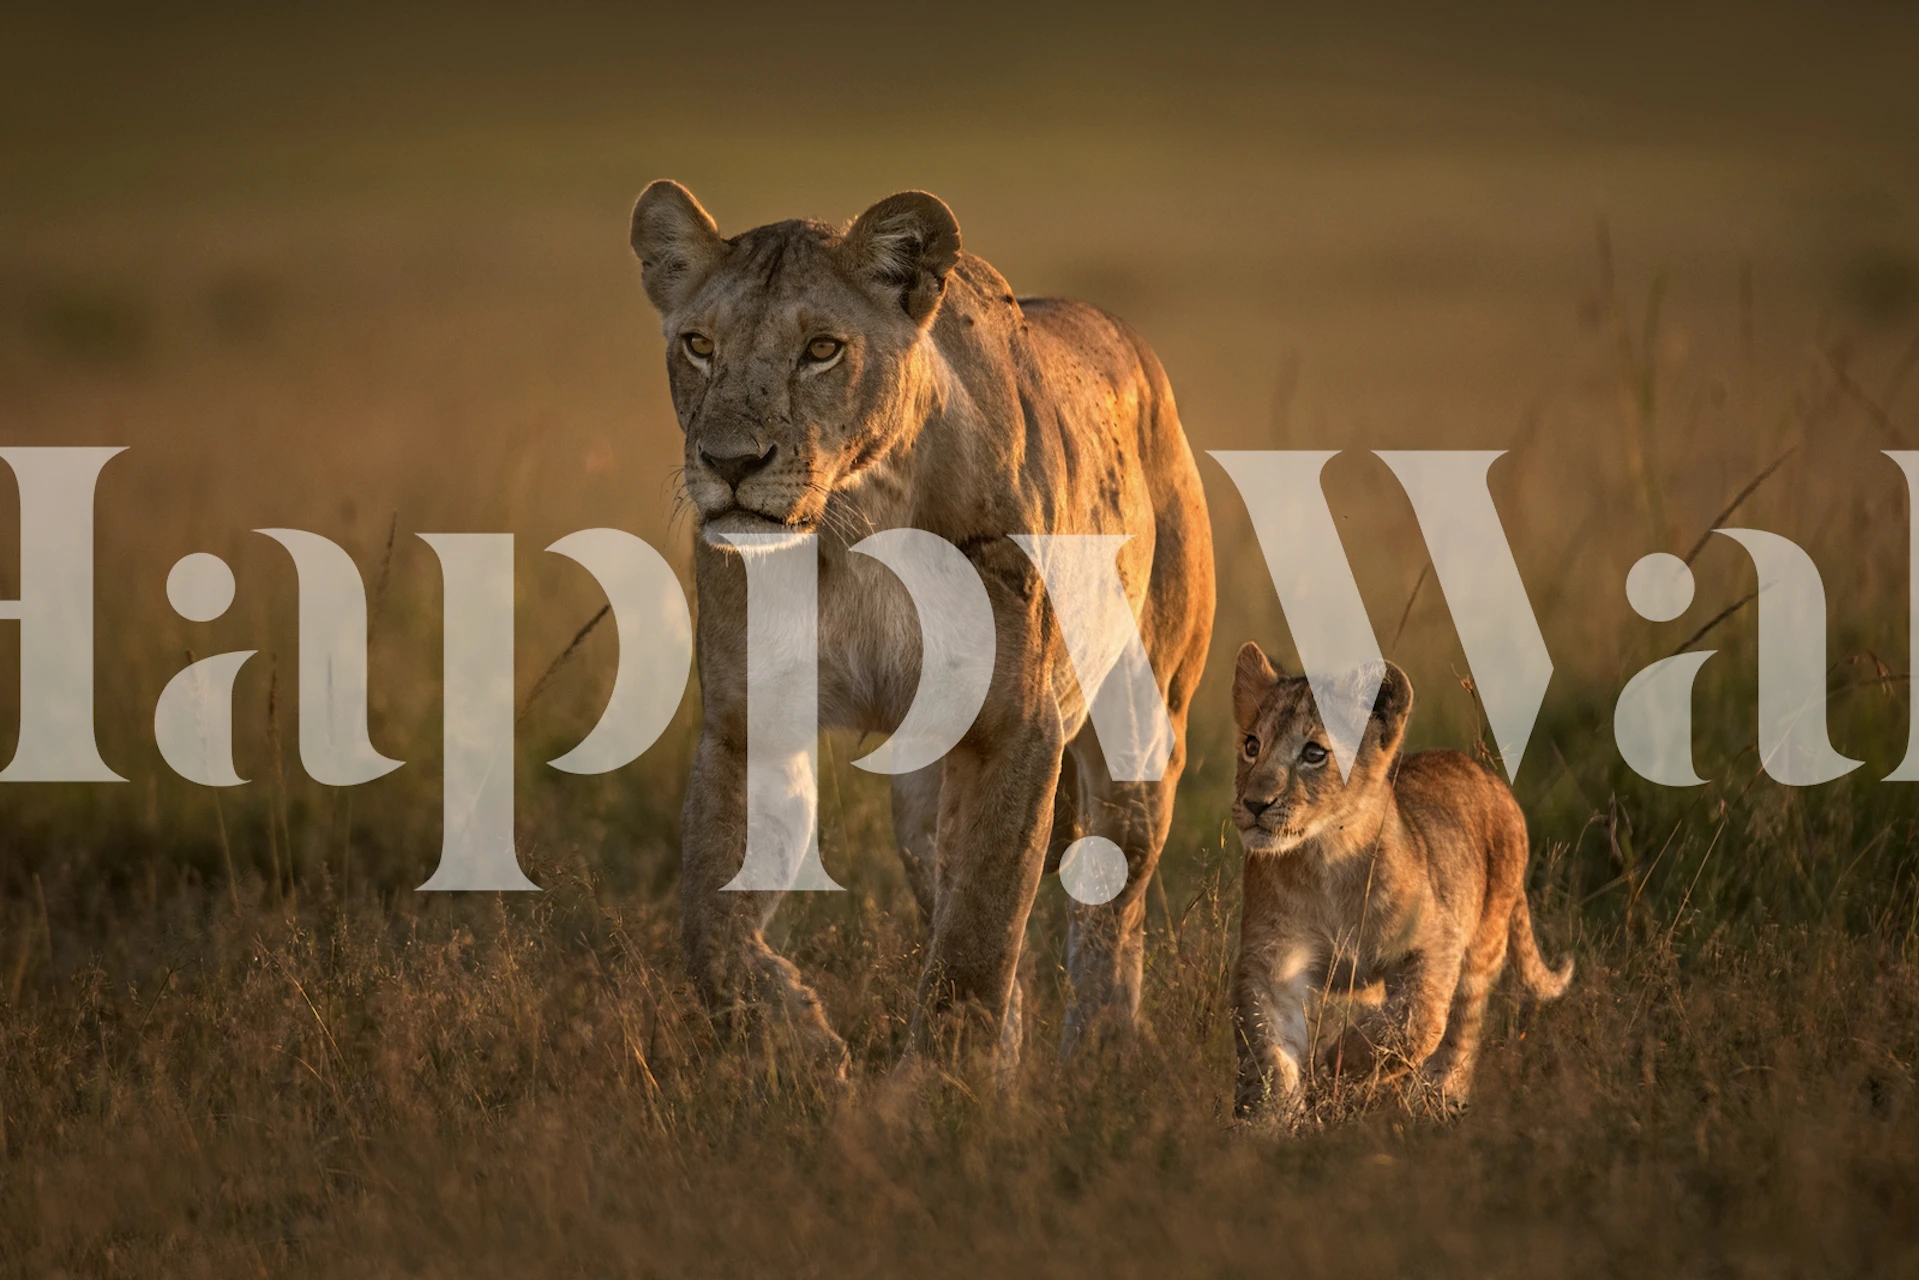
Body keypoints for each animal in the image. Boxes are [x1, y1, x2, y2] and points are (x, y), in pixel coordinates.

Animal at [628, 181, 1215, 1070]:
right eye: (698, 345)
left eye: (822, 350)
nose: (729, 463)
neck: (854, 521)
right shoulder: (747, 723)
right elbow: (710, 927)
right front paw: (800, 1044)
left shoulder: (1013, 727)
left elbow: (977, 936)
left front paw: (943, 1088)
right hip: (920, 790)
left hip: (1142, 724)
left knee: (1111, 908)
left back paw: (1099, 1058)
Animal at [1227, 642, 1571, 1118]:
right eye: (1251, 745)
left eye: (1314, 753)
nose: (1254, 803)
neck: (1325, 858)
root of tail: (1486, 774)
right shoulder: (1272, 960)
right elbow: (1268, 1049)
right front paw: (1269, 1117)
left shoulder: (1436, 941)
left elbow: (1418, 1019)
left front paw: (1340, 1060)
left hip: (1484, 944)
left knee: (1461, 1031)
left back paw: (1438, 1100)